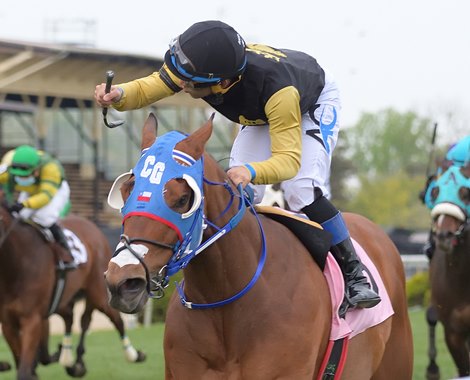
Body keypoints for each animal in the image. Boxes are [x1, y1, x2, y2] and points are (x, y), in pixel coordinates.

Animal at [0, 206, 145, 380]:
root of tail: (91, 226)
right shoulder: (9, 323)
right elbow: (27, 358)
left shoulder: (33, 318)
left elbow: (27, 366)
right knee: (74, 318)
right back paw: (72, 360)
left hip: (98, 292)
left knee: (114, 319)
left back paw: (132, 354)